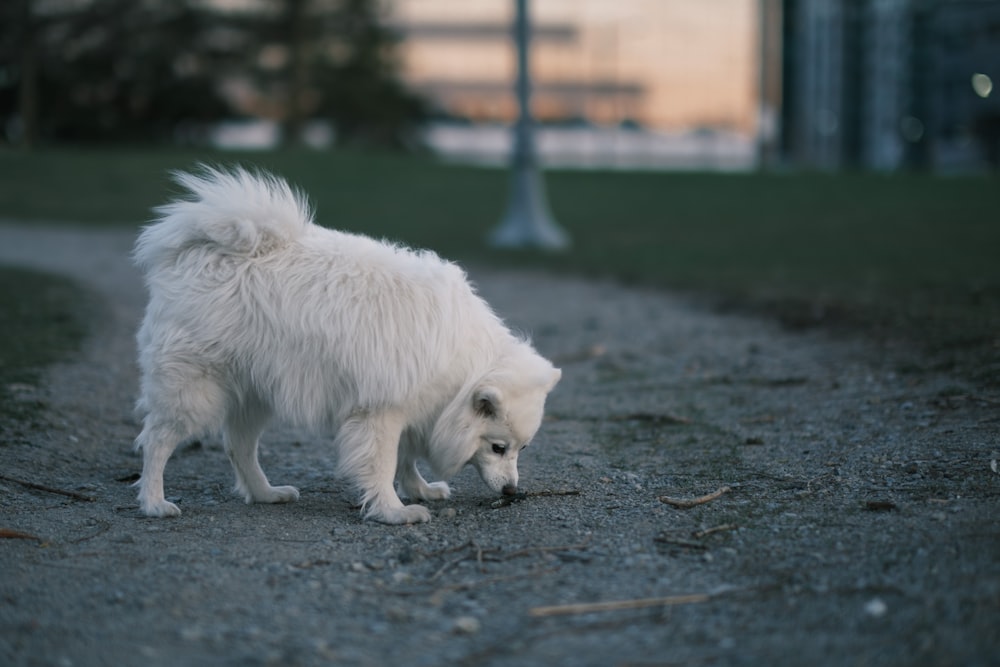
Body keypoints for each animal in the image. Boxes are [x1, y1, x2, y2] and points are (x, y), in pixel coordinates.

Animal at [129, 166, 560, 520]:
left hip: (255, 392)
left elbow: (406, 459)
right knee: (157, 440)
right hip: (194, 391)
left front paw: (420, 490)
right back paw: (153, 502)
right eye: (498, 447)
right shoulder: (380, 411)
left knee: (239, 446)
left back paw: (265, 493)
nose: (512, 491)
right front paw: (393, 511)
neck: (464, 363)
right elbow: (383, 464)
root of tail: (200, 253)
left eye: (522, 449)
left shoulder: (412, 405)